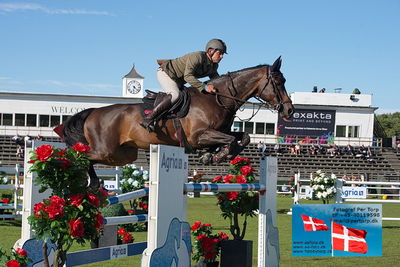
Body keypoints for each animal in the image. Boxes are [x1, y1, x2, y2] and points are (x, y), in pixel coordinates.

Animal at [54, 57, 294, 186]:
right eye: (278, 82)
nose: (289, 110)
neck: (218, 98)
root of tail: (93, 111)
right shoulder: (198, 136)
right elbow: (232, 141)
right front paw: (214, 156)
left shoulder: (220, 132)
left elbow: (242, 137)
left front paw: (213, 155)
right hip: (106, 151)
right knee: (79, 155)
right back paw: (80, 175)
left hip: (122, 155)